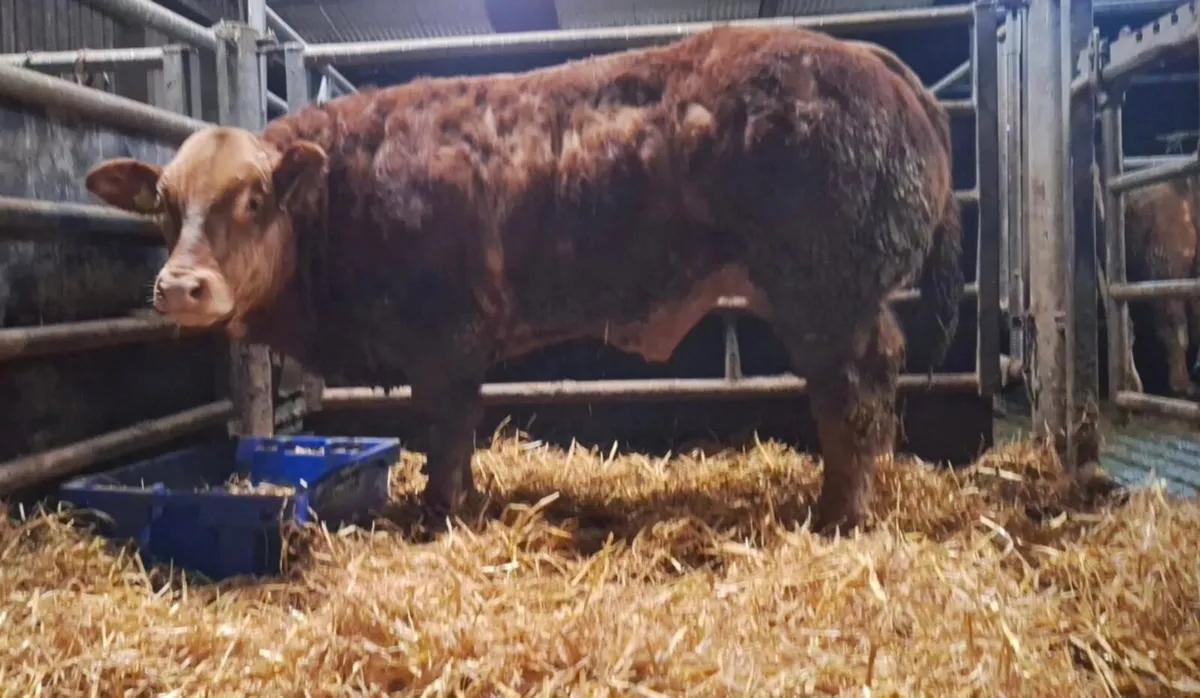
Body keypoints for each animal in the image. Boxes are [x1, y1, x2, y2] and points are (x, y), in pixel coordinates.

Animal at [83, 26, 963, 534]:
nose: (181, 286)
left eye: (255, 198)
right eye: (164, 205)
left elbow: (446, 431)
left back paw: (838, 513)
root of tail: (873, 59)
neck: (344, 195)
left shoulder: (445, 338)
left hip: (828, 296)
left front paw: (439, 513)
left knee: (854, 394)